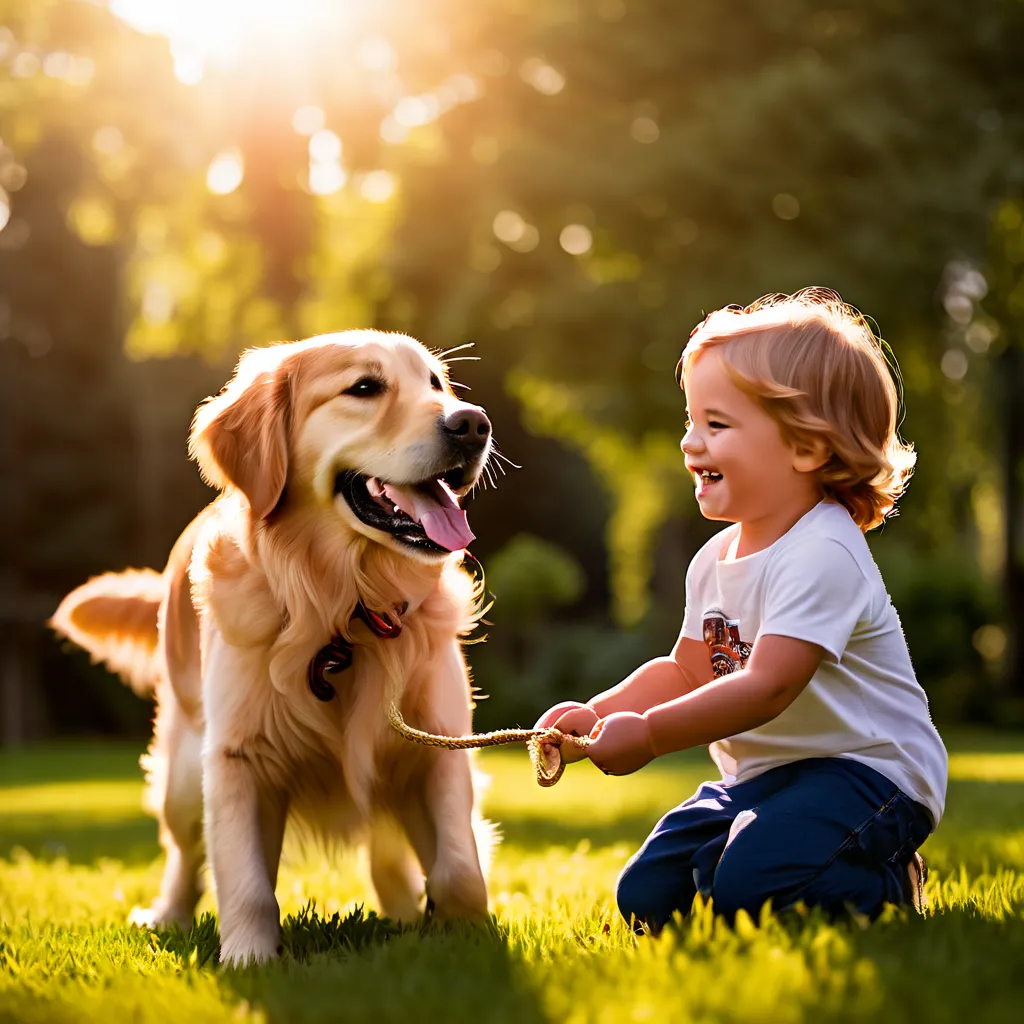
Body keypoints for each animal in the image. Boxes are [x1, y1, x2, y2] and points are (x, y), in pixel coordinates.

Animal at [50, 331, 495, 962]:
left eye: (436, 383)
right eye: (364, 387)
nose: (473, 423)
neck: (347, 605)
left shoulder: (438, 745)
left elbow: (459, 869)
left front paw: (467, 941)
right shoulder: (237, 757)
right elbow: (245, 880)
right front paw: (249, 961)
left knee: (388, 856)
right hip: (183, 768)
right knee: (184, 853)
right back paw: (166, 916)